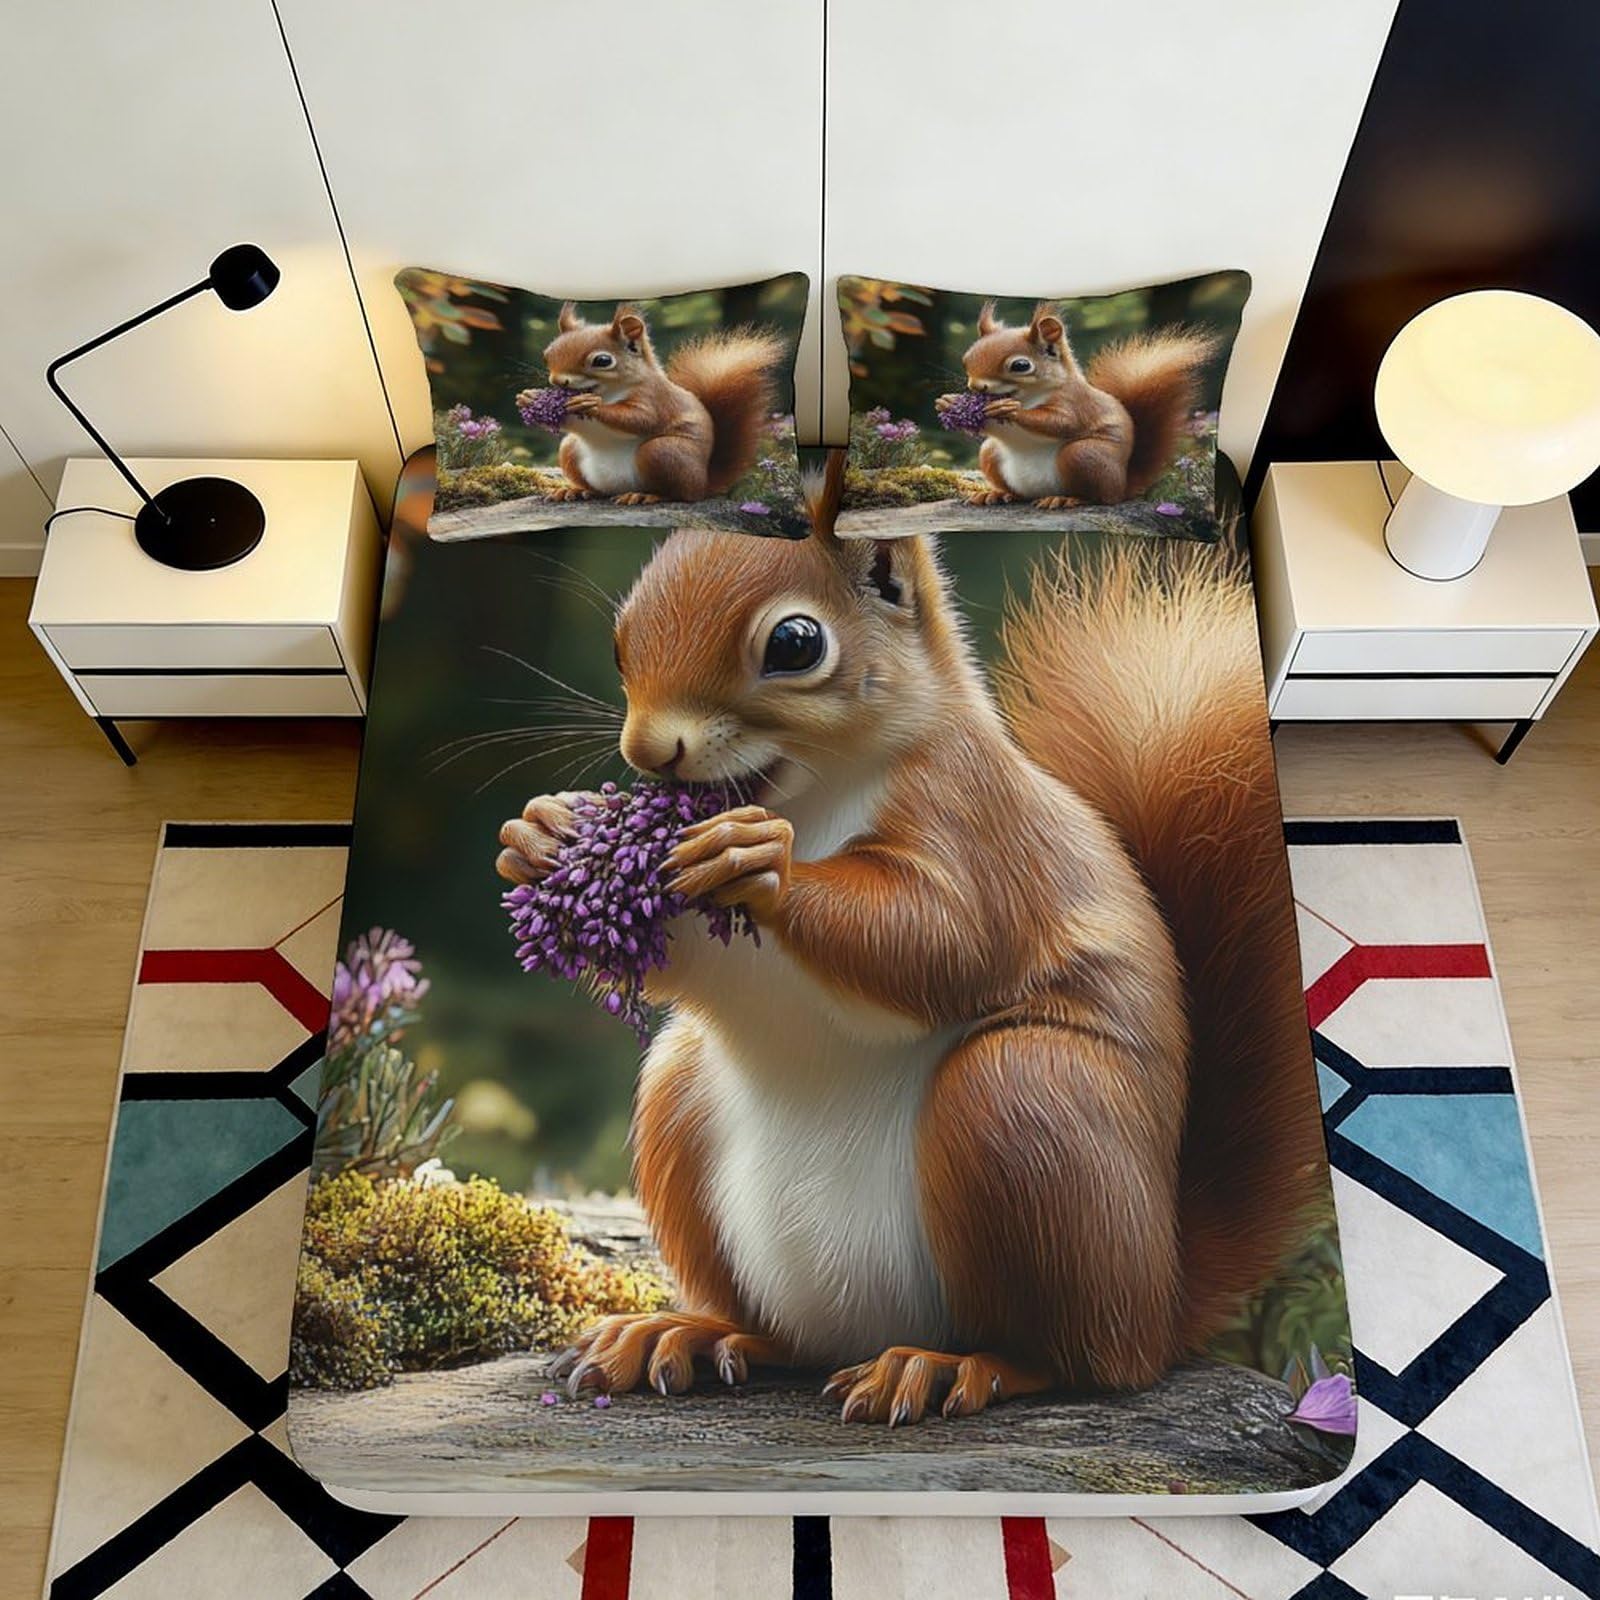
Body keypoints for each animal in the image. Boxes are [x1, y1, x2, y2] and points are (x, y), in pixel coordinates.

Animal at [495, 453, 1323, 1425]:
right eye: (622, 643)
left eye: (795, 645)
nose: (649, 752)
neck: (813, 795)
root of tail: (1161, 1295)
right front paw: (539, 835)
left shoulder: (975, 824)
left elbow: (940, 939)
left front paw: (759, 862)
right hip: (678, 1102)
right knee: (781, 1335)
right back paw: (687, 1334)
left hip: (1028, 1110)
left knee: (1075, 1357)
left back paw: (948, 1366)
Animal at [539, 302, 784, 506]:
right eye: (547, 355)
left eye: (602, 361)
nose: (557, 381)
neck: (609, 392)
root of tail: (703, 482)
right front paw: (533, 399)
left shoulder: (655, 398)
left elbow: (640, 419)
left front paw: (590, 405)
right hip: (570, 450)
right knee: (595, 485)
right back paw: (577, 490)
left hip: (663, 453)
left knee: (680, 494)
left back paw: (646, 495)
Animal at [936, 301, 1217, 509]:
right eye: (967, 359)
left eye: (1020, 365)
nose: (976, 387)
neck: (1029, 396)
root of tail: (1123, 484)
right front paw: (947, 402)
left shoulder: (1076, 403)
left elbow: (1060, 423)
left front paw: (1010, 410)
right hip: (990, 453)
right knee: (1015, 487)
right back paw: (997, 494)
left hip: (1085, 456)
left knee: (1100, 498)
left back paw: (1067, 499)